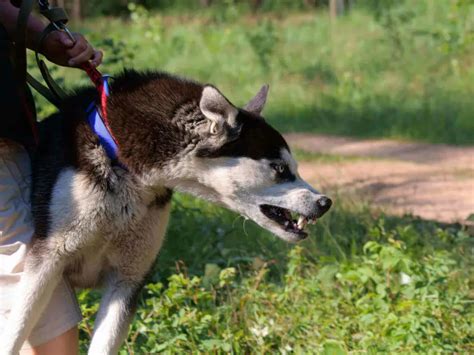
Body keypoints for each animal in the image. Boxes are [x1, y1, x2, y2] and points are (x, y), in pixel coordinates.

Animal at [1, 71, 332, 354]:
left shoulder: (129, 277)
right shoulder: (46, 261)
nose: (325, 203)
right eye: (280, 168)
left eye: (294, 167)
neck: (124, 165)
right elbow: (14, 332)